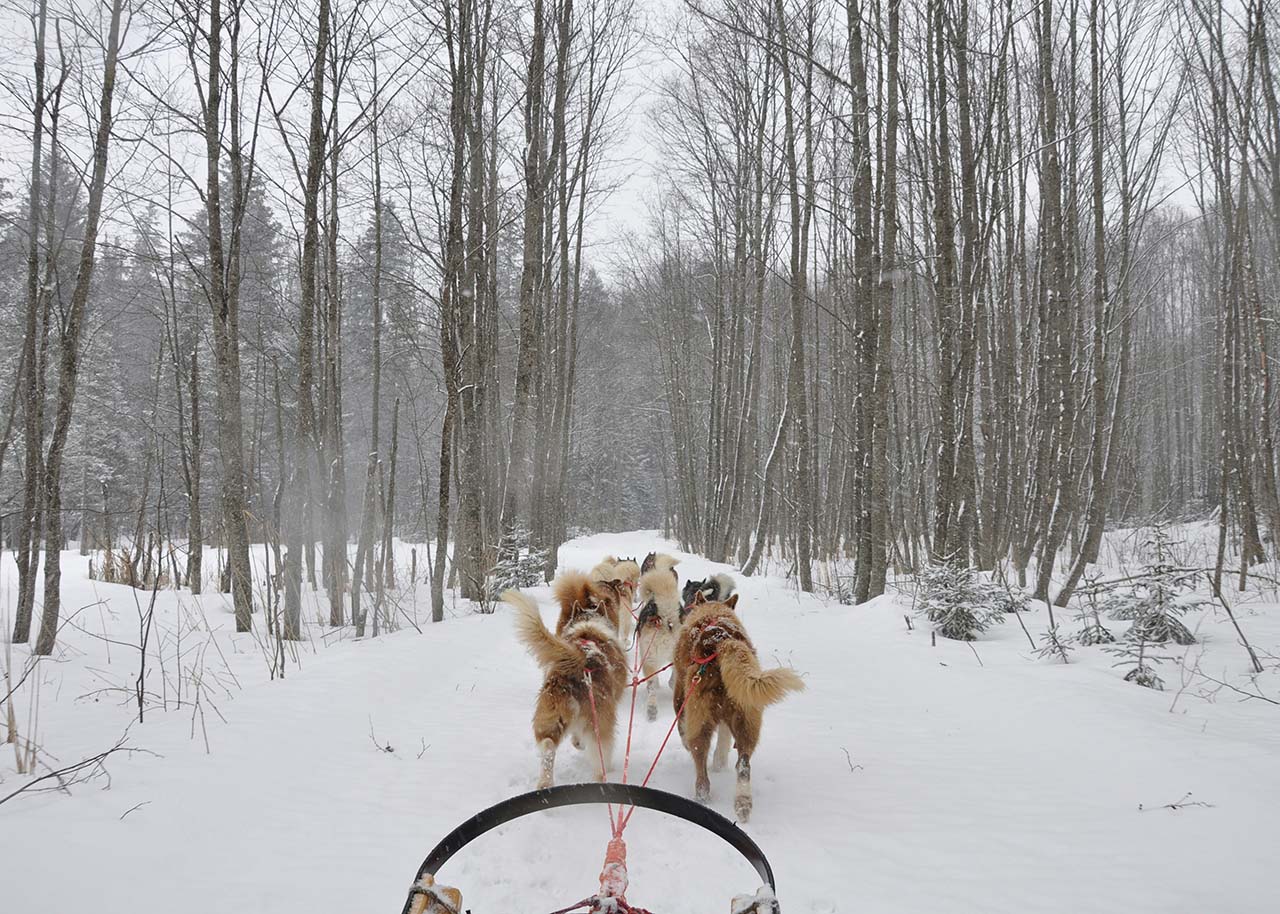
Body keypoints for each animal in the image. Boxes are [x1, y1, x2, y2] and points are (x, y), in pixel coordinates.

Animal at [501, 586, 627, 788]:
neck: (588, 627)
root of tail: (578, 665)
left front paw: (577, 743)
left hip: (549, 716)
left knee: (548, 745)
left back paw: (545, 783)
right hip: (600, 725)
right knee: (600, 760)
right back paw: (604, 775)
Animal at [670, 591, 798, 819]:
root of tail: (722, 641)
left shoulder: (680, 697)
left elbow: (682, 726)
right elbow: (723, 740)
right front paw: (720, 762)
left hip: (699, 718)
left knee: (700, 761)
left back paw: (702, 796)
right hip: (747, 718)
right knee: (744, 764)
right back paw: (743, 803)